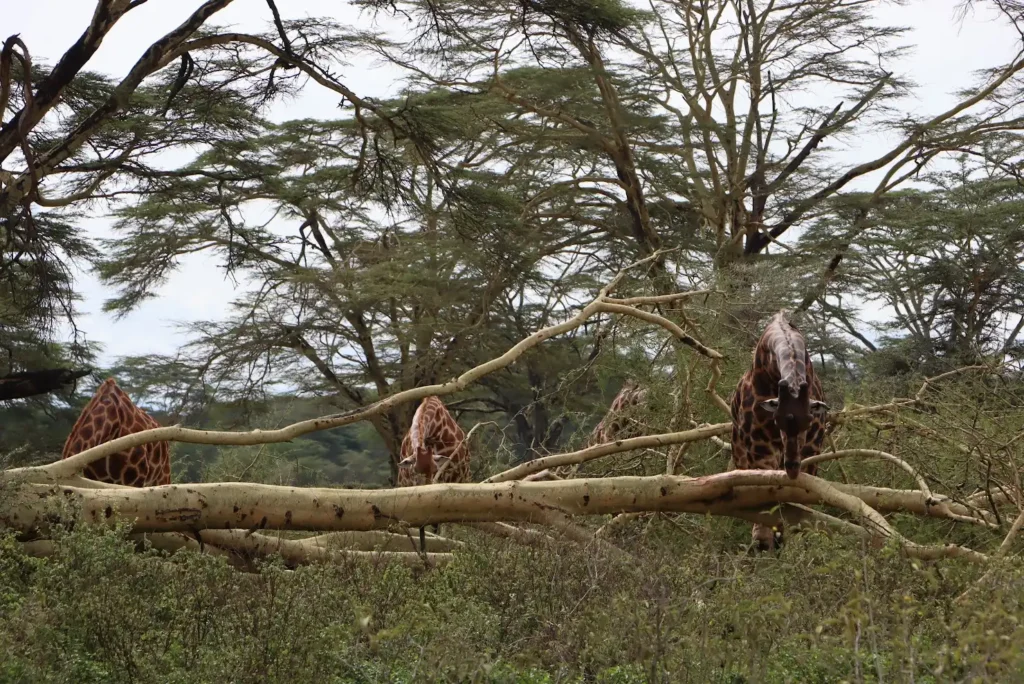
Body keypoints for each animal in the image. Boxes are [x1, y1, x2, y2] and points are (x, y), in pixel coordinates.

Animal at [730, 311, 830, 550]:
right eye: (777, 420)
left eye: (808, 421)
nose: (792, 467)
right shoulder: (760, 447)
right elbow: (765, 496)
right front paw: (763, 541)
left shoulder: (812, 449)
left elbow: (798, 499)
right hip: (741, 450)